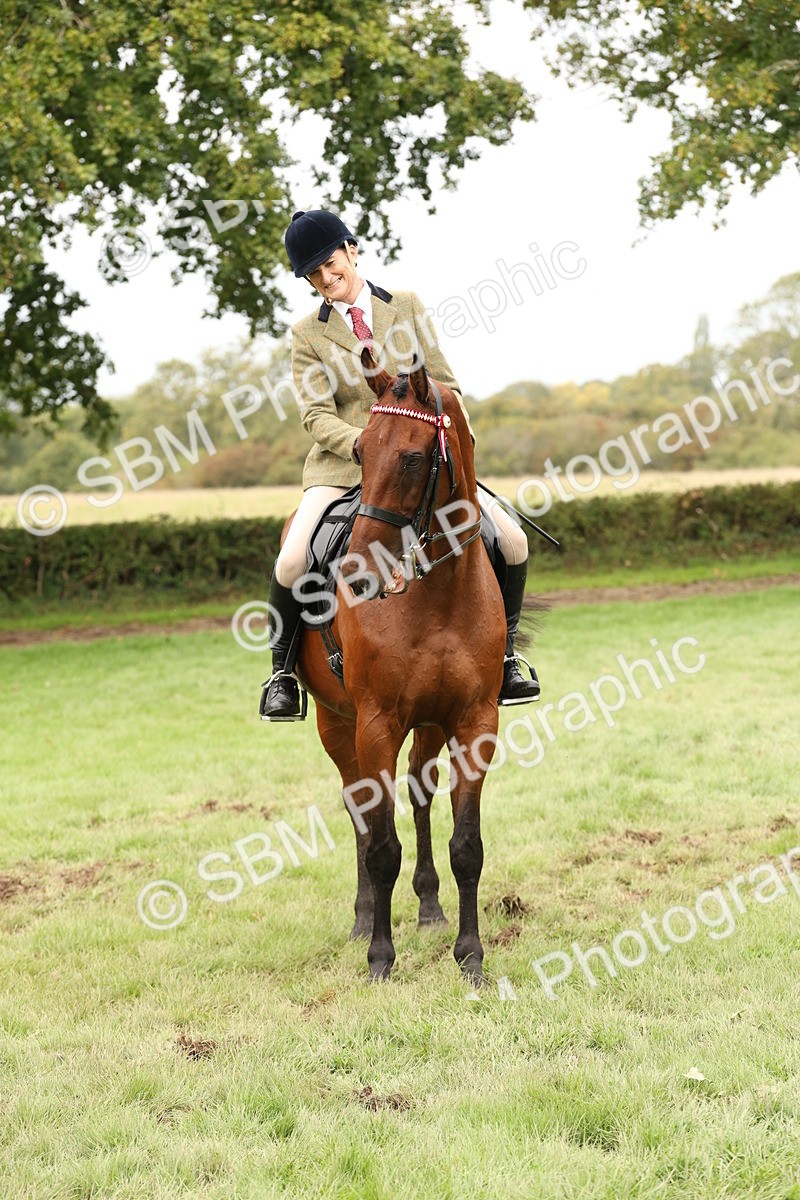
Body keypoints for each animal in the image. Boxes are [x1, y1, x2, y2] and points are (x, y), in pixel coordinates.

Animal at [286, 348, 506, 984]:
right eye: (360, 450)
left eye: (411, 457)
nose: (354, 574)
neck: (439, 592)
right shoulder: (376, 722)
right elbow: (382, 846)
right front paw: (380, 958)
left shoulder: (474, 722)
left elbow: (467, 846)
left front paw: (471, 956)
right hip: (337, 722)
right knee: (360, 805)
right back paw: (364, 919)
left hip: (428, 724)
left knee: (418, 791)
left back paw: (429, 906)